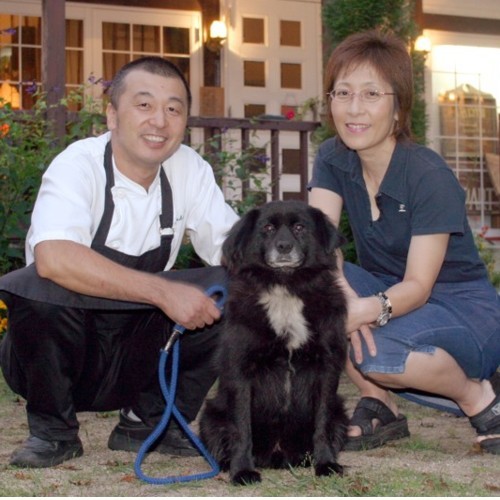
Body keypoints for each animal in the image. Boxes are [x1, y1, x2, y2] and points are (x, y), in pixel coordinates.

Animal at [199, 199, 348, 484]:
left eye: (300, 227)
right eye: (267, 228)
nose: (284, 247)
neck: (286, 286)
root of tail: (278, 455)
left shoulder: (327, 367)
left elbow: (322, 423)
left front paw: (326, 464)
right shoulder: (241, 370)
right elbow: (242, 428)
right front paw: (242, 471)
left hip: (341, 414)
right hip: (211, 416)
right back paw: (227, 464)